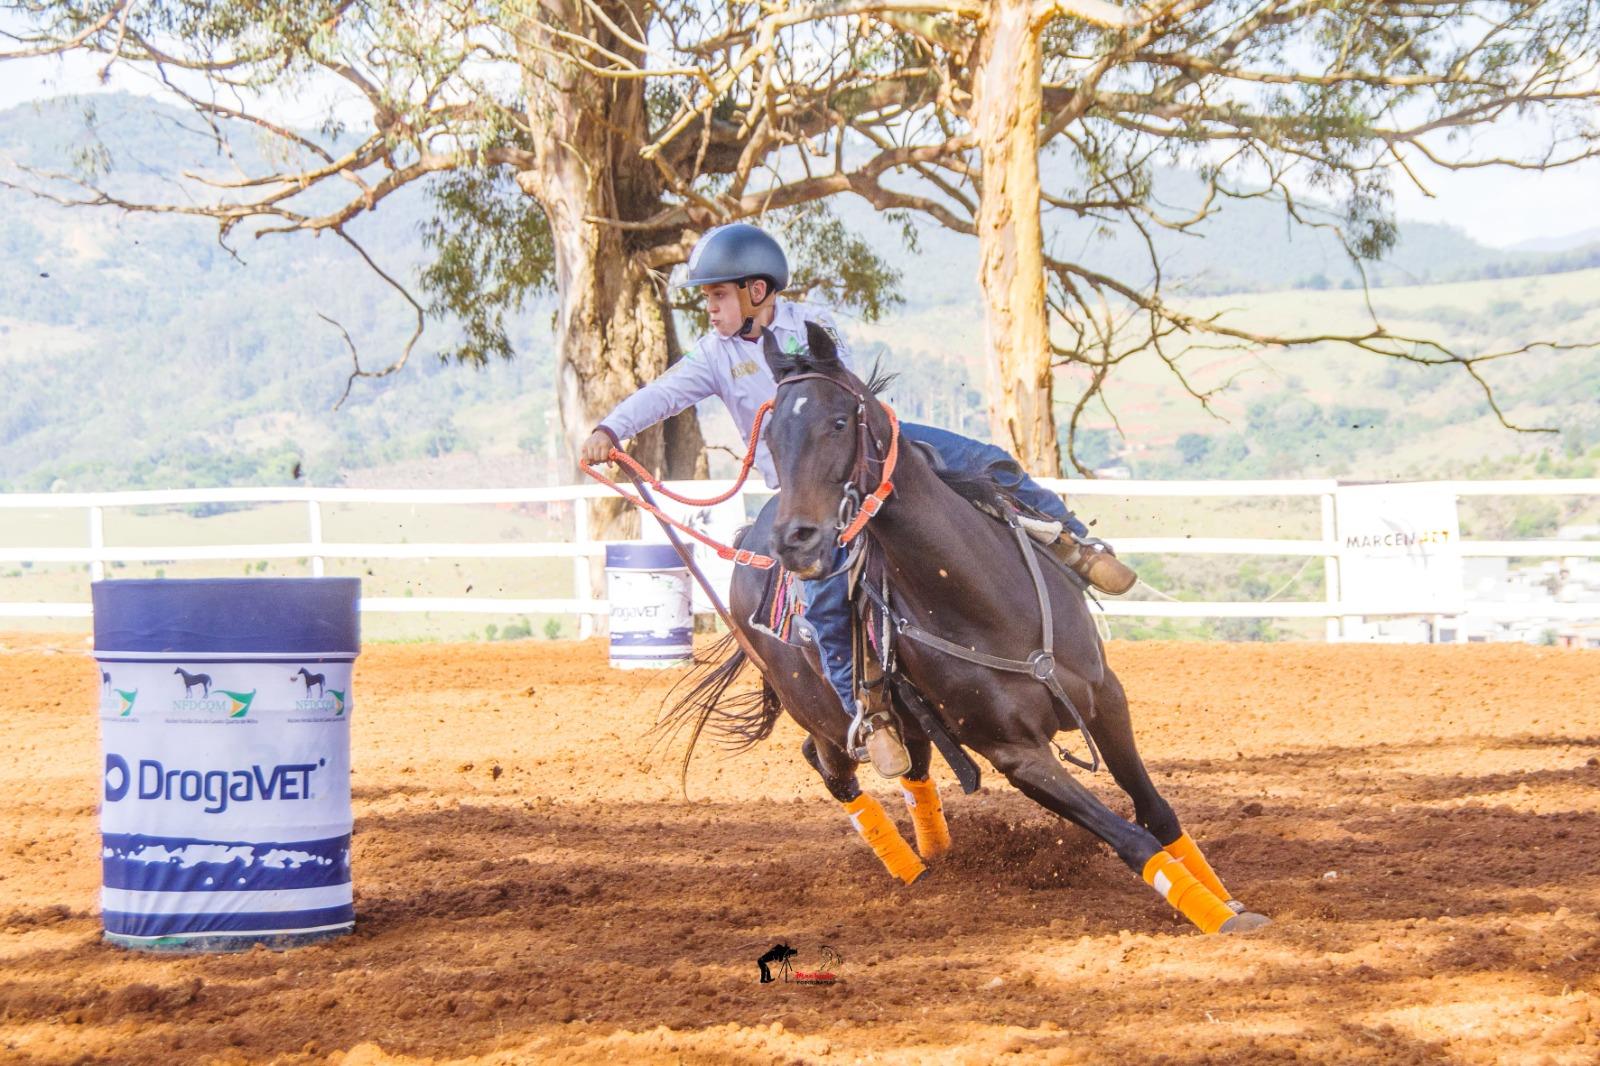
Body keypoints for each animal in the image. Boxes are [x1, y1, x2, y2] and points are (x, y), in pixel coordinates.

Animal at [664, 321, 1268, 935]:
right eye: (770, 438)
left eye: (837, 422)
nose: (796, 540)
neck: (986, 602)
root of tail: (747, 544)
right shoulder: (1014, 753)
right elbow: (1130, 837)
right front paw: (1220, 920)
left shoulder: (1106, 698)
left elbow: (1156, 812)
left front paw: (1227, 903)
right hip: (821, 714)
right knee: (832, 770)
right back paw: (911, 871)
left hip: (905, 718)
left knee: (911, 766)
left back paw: (935, 850)